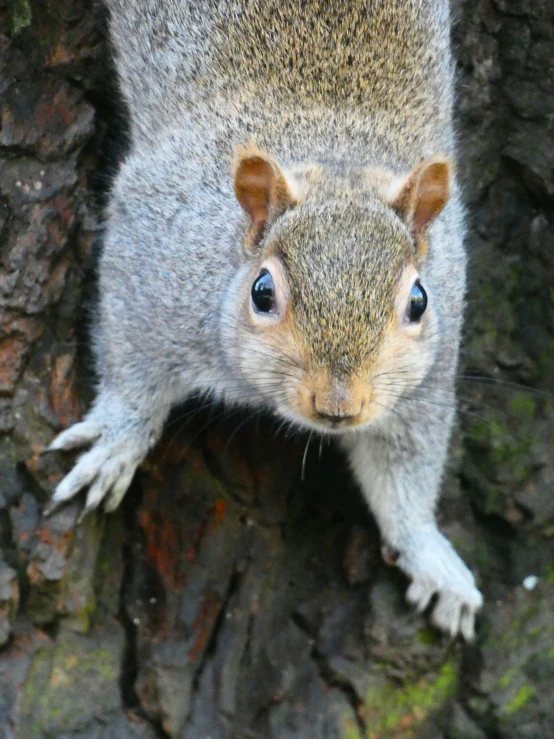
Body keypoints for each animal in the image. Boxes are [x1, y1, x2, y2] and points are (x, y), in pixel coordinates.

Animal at [48, 0, 478, 640]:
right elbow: (132, 365)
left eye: (419, 302)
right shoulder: (150, 260)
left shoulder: (425, 378)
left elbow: (404, 463)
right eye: (263, 292)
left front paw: (429, 553)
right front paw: (120, 440)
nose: (338, 406)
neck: (337, 161)